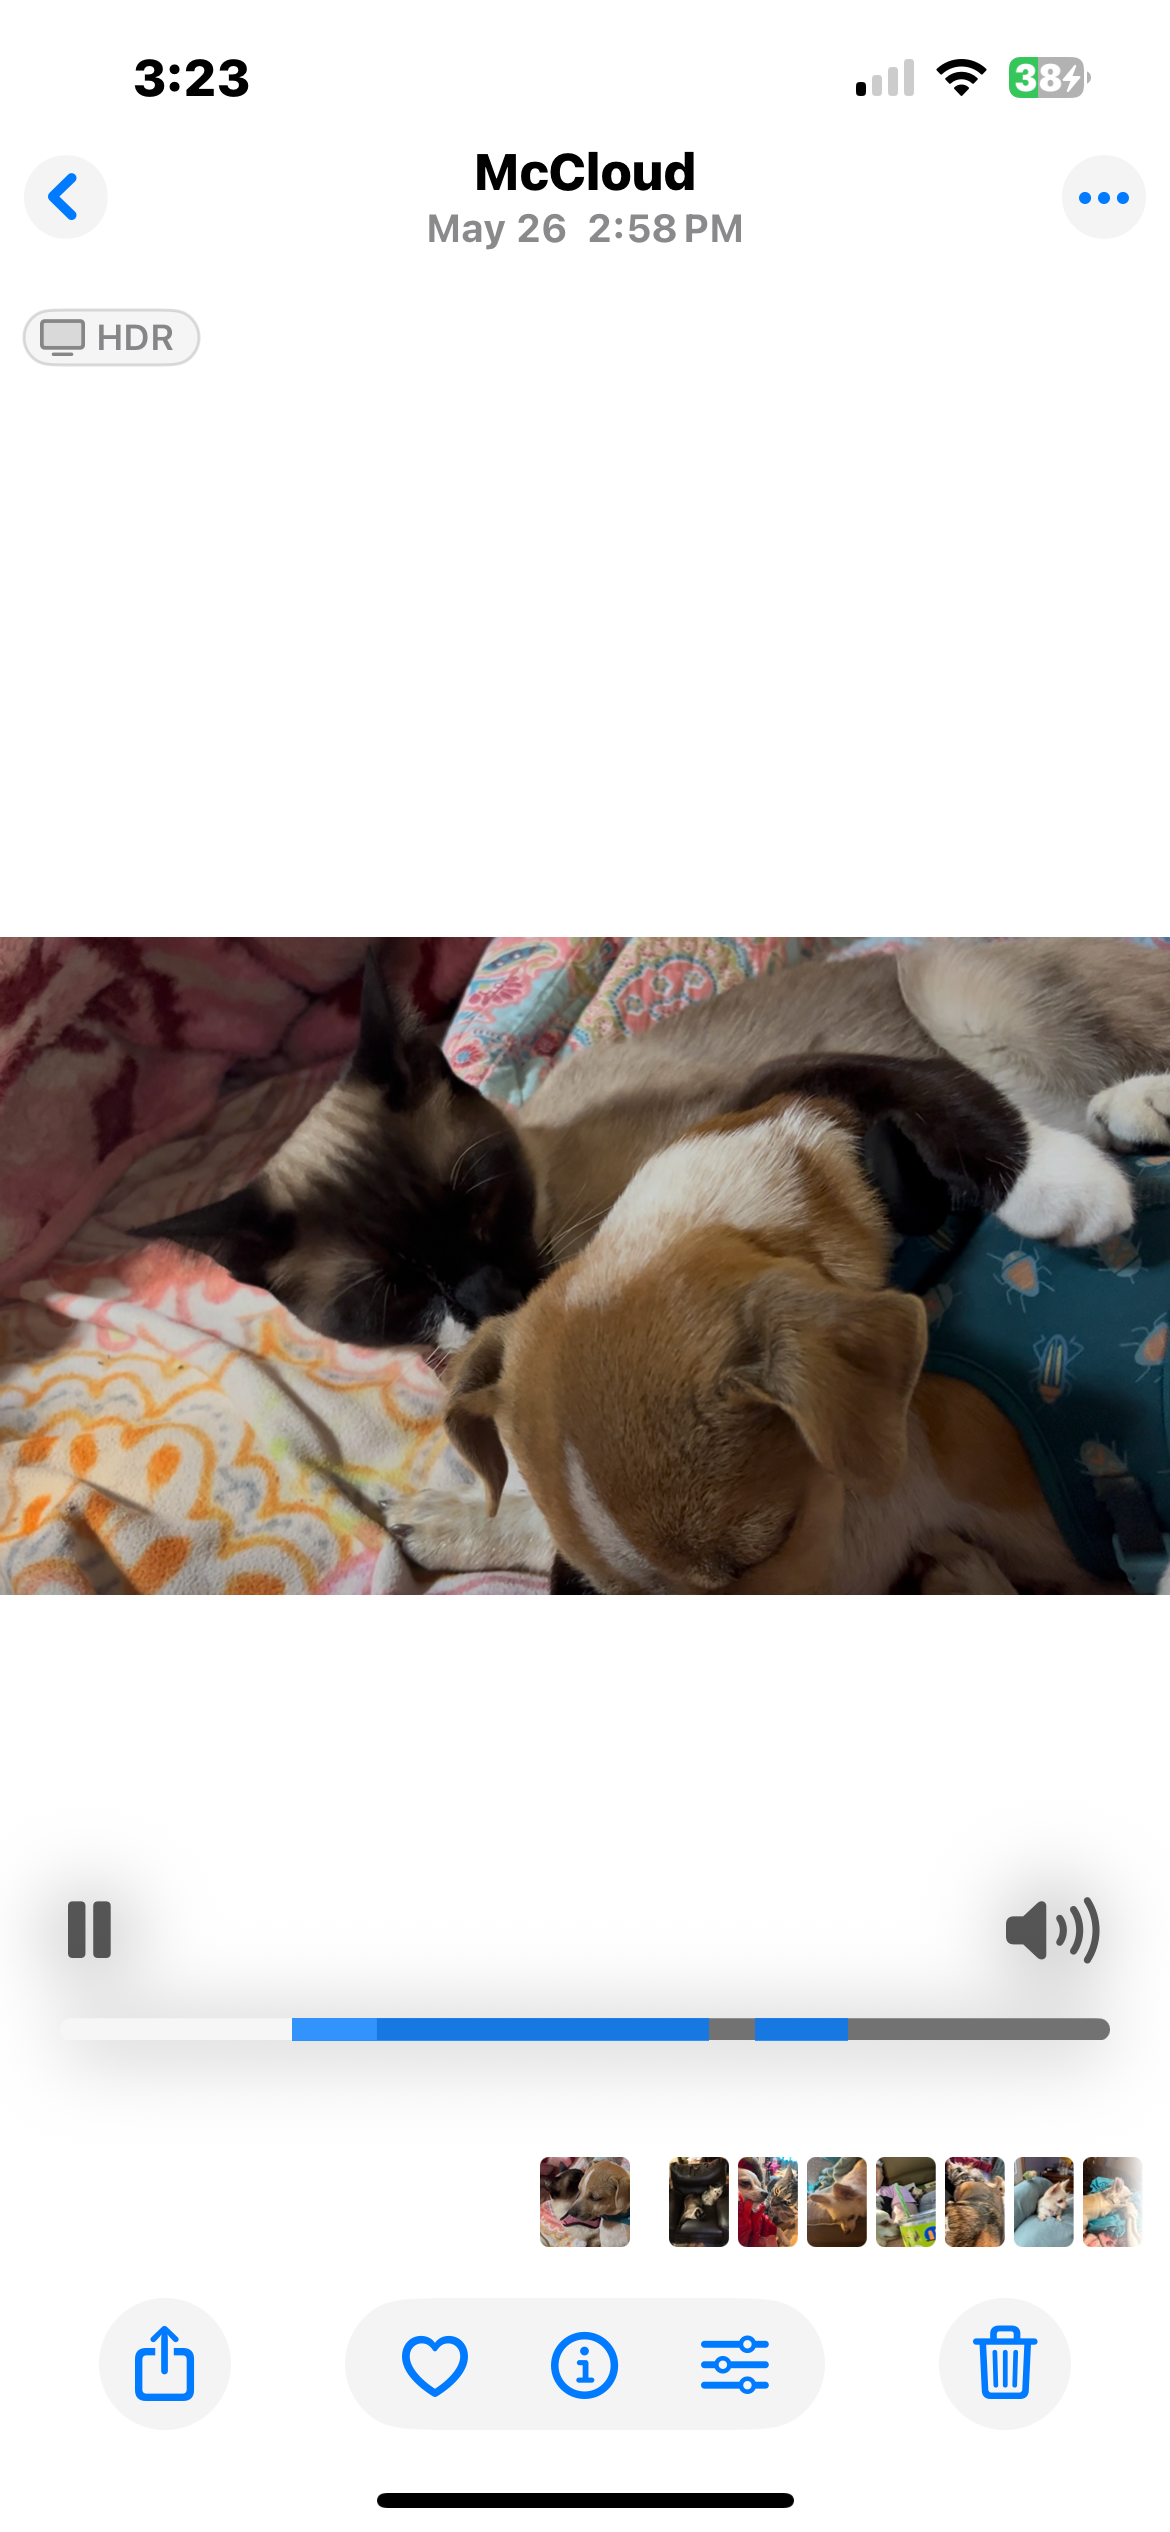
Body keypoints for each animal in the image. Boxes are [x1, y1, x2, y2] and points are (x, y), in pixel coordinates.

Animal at [131, 941, 1170, 1361]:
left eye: (482, 1200)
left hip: (941, 984)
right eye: (390, 1296)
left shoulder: (779, 1089)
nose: (490, 1296)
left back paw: (1118, 1126)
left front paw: (1061, 1190)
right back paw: (1134, 1119)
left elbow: (951, 1101)